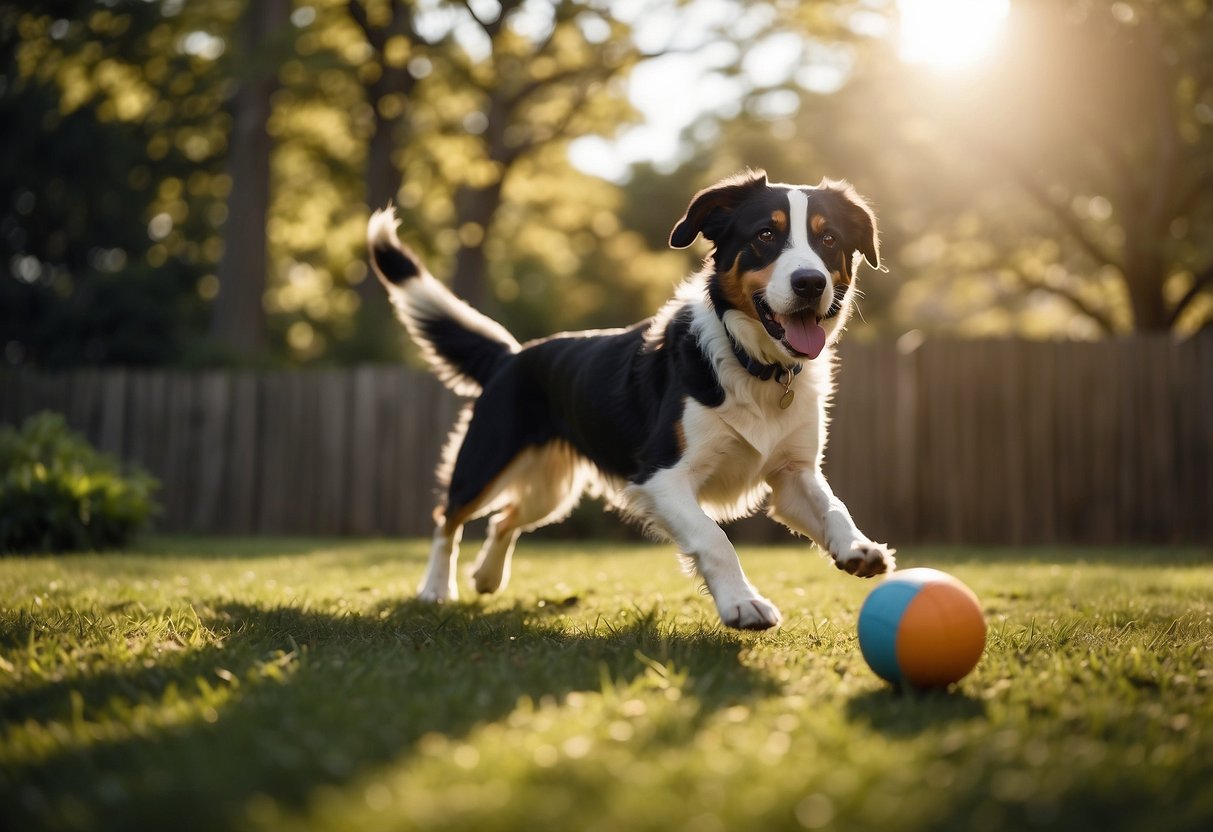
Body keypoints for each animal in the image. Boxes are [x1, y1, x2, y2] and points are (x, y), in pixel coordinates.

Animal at [366, 171, 892, 630]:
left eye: (828, 240)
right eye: (766, 233)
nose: (810, 282)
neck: (753, 365)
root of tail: (512, 355)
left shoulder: (792, 474)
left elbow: (833, 506)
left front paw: (858, 548)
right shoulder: (660, 477)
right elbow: (714, 538)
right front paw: (743, 605)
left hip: (551, 489)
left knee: (504, 519)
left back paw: (487, 577)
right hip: (485, 460)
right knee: (449, 518)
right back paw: (437, 589)